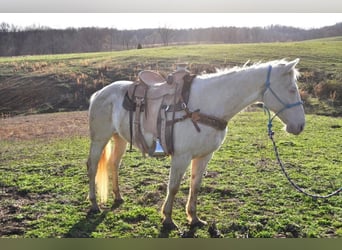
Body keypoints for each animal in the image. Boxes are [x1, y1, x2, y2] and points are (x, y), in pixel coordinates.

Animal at [85, 58, 304, 229]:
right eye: (292, 89)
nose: (300, 126)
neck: (207, 104)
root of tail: (98, 93)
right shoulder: (181, 157)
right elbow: (173, 187)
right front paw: (168, 219)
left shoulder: (204, 156)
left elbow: (195, 186)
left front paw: (194, 218)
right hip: (99, 139)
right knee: (92, 166)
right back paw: (94, 204)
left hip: (119, 138)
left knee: (114, 164)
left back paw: (118, 197)